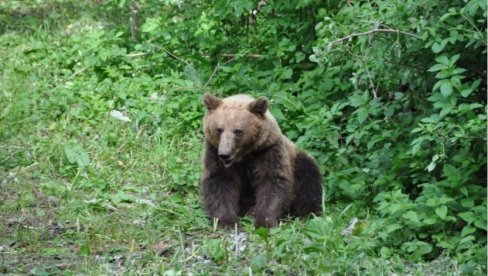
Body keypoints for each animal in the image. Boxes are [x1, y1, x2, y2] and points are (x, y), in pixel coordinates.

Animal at [200, 92, 322, 229]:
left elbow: (272, 182)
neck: (244, 154)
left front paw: (265, 221)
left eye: (238, 131)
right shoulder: (214, 152)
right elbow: (220, 182)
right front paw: (227, 221)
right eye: (219, 129)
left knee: (309, 178)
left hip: (298, 159)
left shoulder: (267, 150)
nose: (225, 154)